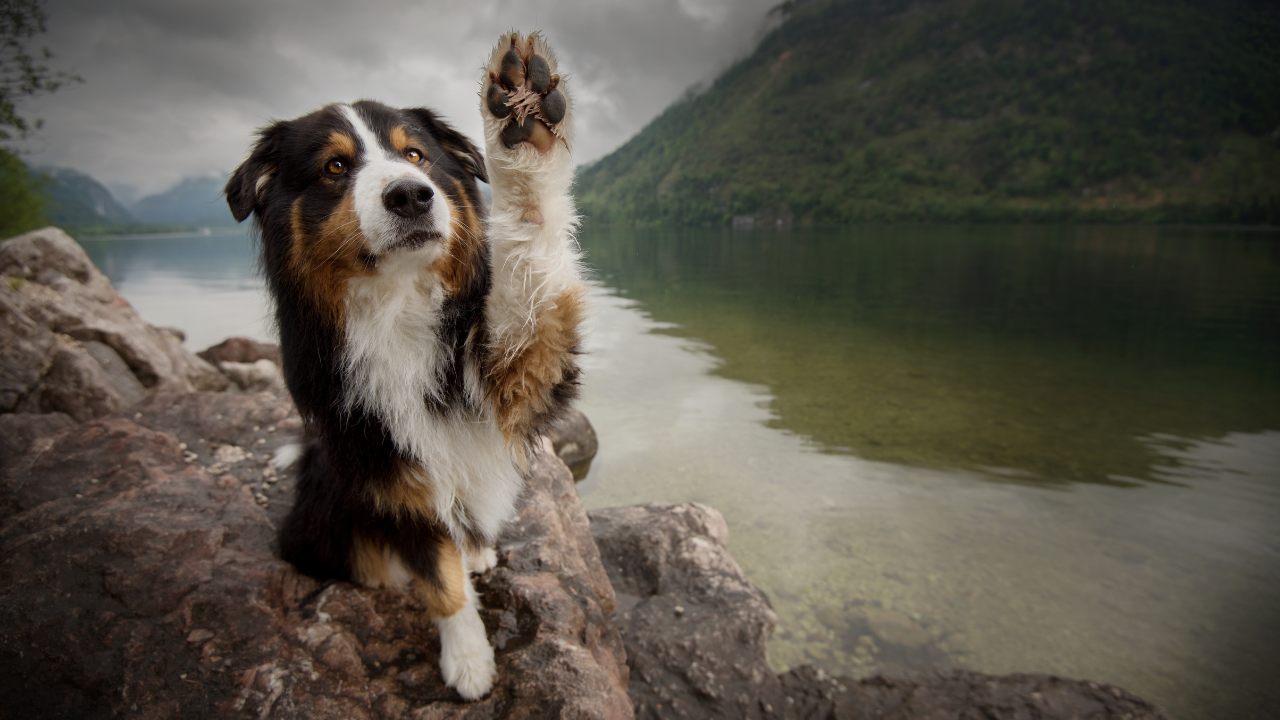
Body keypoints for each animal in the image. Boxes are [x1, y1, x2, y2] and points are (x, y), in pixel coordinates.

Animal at [225, 30, 586, 696]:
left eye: (415, 156)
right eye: (335, 167)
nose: (412, 195)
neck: (397, 300)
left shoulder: (515, 365)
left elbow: (530, 256)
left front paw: (522, 121)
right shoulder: (390, 470)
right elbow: (438, 579)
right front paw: (469, 663)